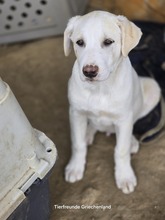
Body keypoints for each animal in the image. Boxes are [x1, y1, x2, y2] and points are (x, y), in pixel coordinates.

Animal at [63, 10, 160, 192]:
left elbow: (121, 150)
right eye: (79, 42)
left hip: (153, 88)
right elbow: (78, 144)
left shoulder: (124, 119)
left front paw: (124, 176)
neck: (100, 89)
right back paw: (88, 133)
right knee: (92, 126)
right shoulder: (75, 113)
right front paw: (75, 167)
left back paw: (132, 141)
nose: (89, 72)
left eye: (108, 42)